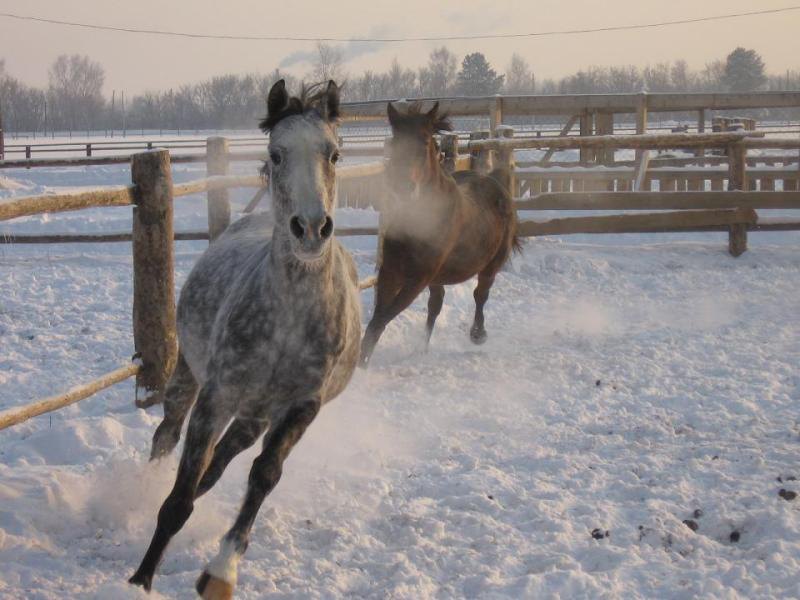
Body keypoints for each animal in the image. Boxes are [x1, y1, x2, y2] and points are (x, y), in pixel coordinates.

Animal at [360, 101, 520, 368]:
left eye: (425, 141)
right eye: (396, 141)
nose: (405, 188)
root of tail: (495, 180)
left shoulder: (418, 278)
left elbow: (381, 319)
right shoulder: (390, 271)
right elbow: (377, 319)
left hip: (490, 265)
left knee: (480, 294)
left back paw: (477, 334)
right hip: (438, 277)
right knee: (436, 305)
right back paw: (421, 349)